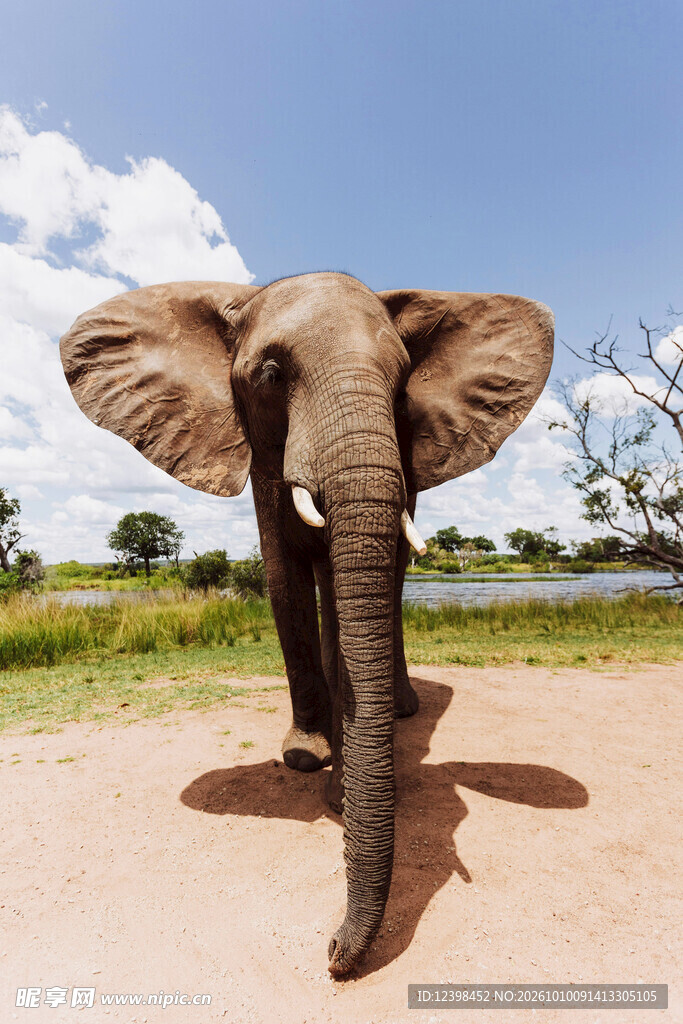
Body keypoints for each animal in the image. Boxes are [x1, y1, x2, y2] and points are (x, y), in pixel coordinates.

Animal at [59, 271, 554, 976]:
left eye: (404, 380)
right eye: (270, 375)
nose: (333, 953)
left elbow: (360, 592)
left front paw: (341, 787)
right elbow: (283, 578)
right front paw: (303, 758)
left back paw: (402, 708)